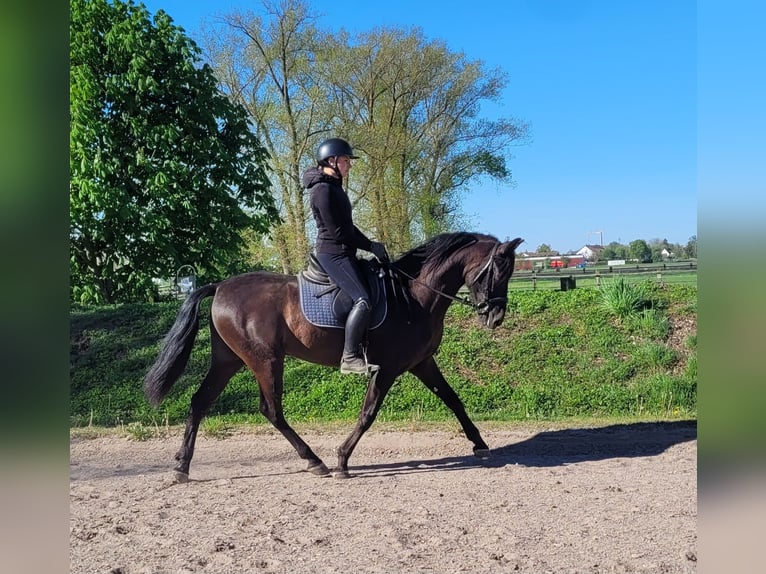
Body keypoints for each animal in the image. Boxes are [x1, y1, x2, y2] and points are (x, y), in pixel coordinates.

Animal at [144, 231, 524, 480]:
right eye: (498, 269)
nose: (495, 317)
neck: (413, 295)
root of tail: (220, 286)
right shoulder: (388, 368)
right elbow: (368, 413)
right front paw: (342, 459)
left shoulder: (421, 363)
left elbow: (453, 399)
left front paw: (480, 444)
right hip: (265, 361)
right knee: (271, 410)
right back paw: (316, 461)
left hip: (228, 360)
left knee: (199, 402)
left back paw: (181, 466)